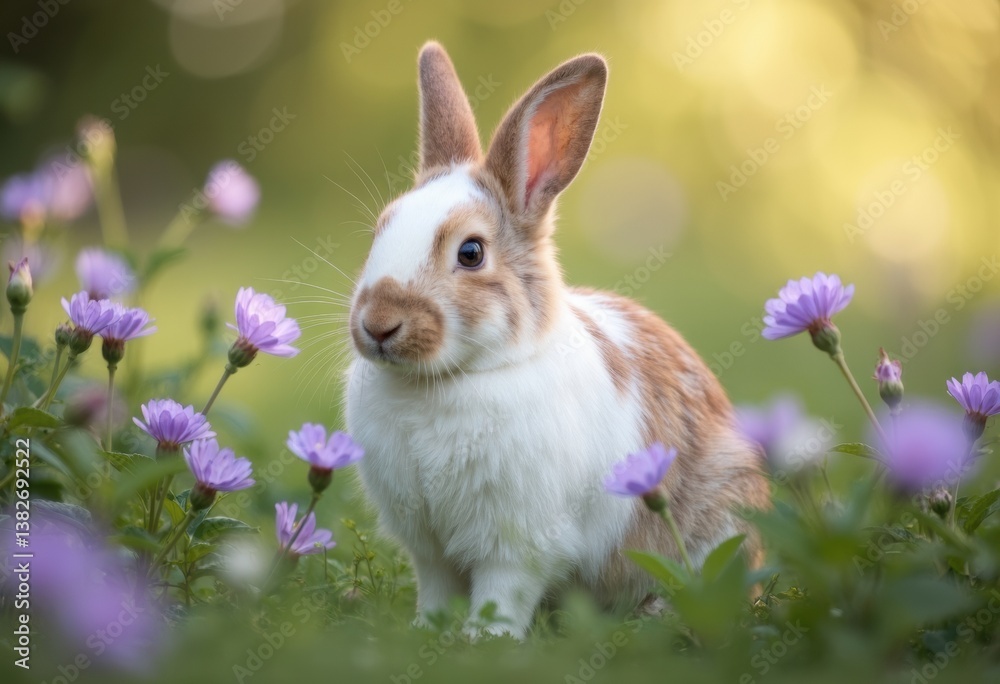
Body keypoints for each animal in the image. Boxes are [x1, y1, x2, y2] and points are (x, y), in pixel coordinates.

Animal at [344, 41, 770, 639]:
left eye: (471, 253)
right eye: (382, 228)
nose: (378, 324)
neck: (451, 379)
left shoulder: (518, 543)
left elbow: (503, 590)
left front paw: (484, 639)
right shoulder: (429, 548)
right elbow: (437, 588)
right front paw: (428, 630)